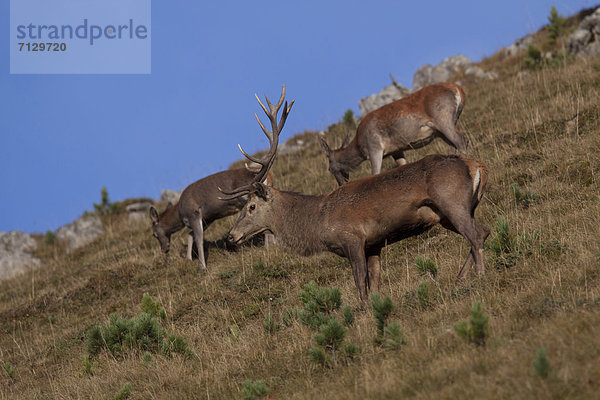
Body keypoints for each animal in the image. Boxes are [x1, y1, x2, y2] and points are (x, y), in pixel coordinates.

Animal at [318, 83, 468, 187]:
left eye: (329, 168)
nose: (341, 184)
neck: (360, 147)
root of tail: (458, 90)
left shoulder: (375, 148)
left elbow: (375, 173)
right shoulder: (395, 150)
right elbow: (402, 165)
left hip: (443, 119)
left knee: (461, 140)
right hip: (442, 129)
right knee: (454, 144)